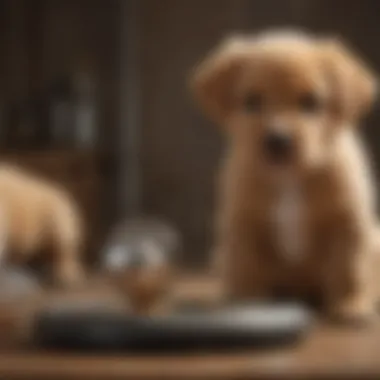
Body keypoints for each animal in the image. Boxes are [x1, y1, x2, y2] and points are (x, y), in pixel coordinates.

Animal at [191, 29, 380, 324]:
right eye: (252, 101)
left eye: (310, 102)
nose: (277, 140)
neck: (289, 179)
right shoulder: (243, 225)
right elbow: (247, 270)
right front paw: (248, 305)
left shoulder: (347, 223)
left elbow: (349, 269)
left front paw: (351, 305)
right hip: (221, 254)